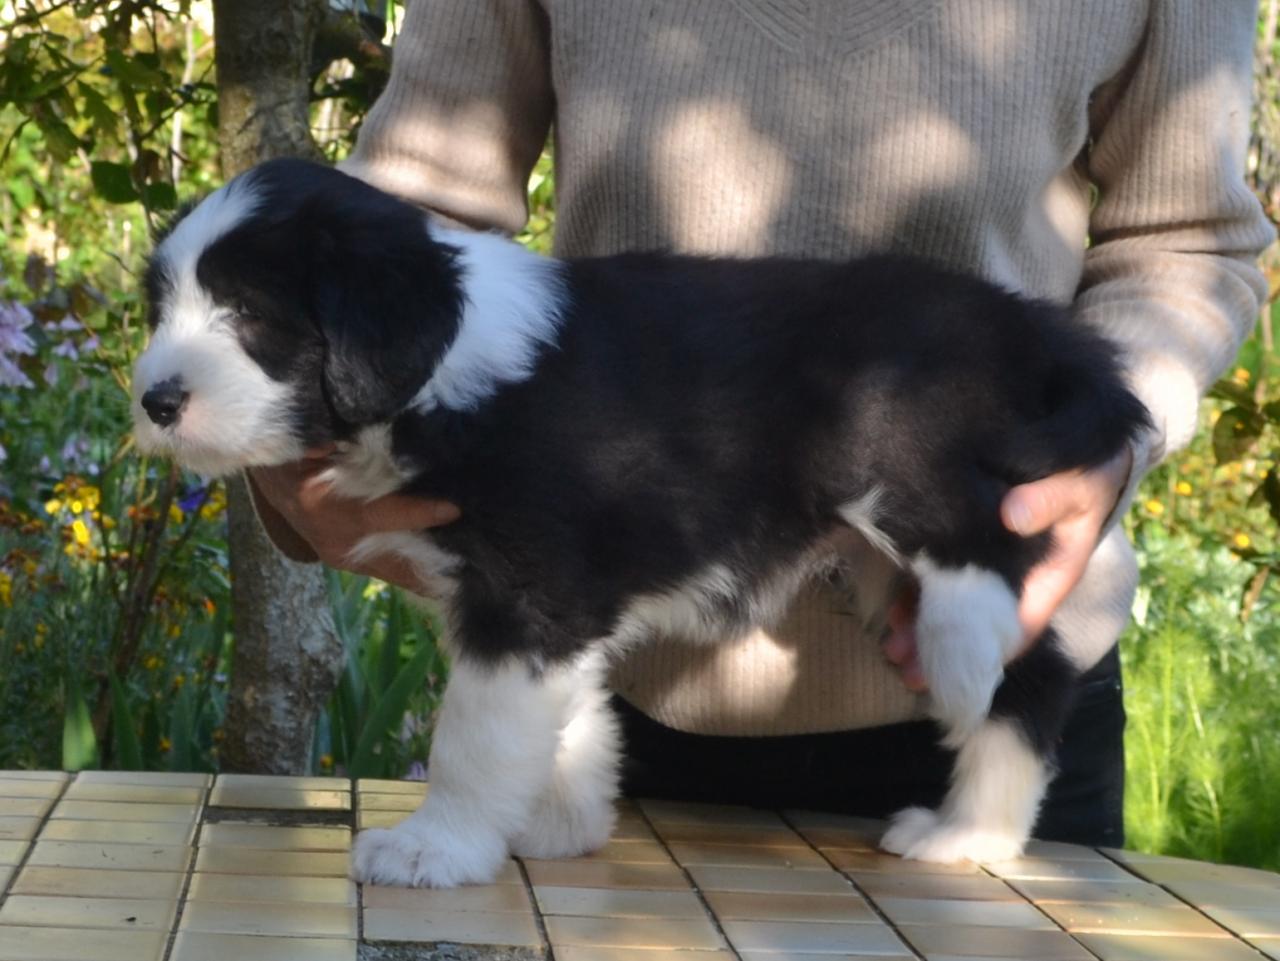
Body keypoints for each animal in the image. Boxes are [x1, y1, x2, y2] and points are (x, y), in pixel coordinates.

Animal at [132, 158, 1152, 885]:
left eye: (250, 312)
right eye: (165, 305)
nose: (155, 400)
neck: (444, 370)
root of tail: (1030, 330)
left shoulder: (525, 593)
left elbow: (472, 735)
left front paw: (436, 849)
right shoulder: (560, 604)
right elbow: (570, 716)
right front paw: (562, 825)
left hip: (898, 451)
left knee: (982, 561)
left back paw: (960, 661)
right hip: (876, 562)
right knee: (1036, 675)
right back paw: (972, 833)